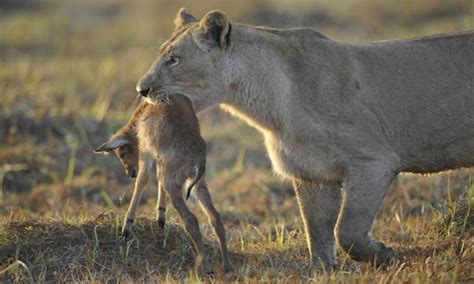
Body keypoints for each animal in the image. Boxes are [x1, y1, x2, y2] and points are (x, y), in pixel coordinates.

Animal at [94, 95, 231, 272]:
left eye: (122, 153)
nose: (130, 173)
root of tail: (199, 159)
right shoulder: (160, 161)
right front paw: (160, 217)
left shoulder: (146, 153)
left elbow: (142, 181)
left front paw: (126, 228)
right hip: (198, 184)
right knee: (215, 217)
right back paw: (226, 265)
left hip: (174, 185)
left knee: (191, 220)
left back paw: (205, 266)